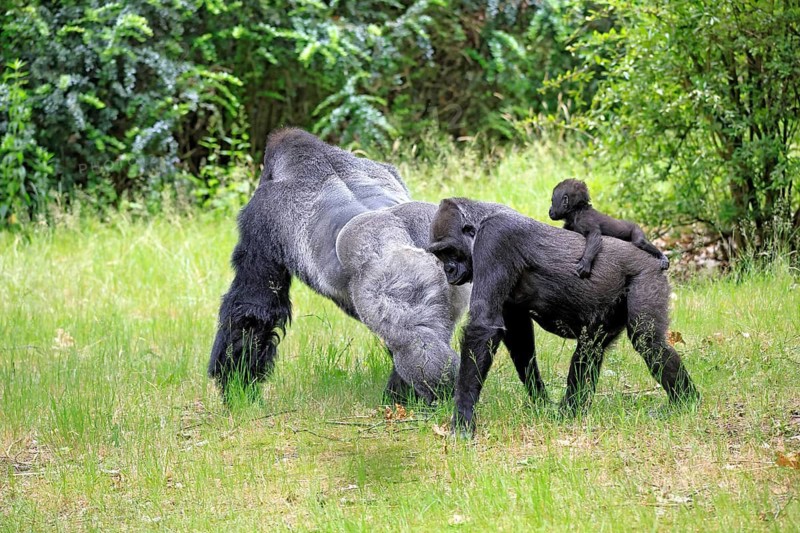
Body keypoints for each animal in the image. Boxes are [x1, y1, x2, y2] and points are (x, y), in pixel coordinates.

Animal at [209, 128, 470, 405]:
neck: (314, 157)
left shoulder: (260, 216)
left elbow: (253, 307)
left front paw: (236, 385)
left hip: (399, 276)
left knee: (414, 343)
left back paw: (432, 396)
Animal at [427, 197, 699, 436]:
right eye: (438, 255)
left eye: (449, 251)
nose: (447, 270)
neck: (482, 218)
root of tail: (654, 256)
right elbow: (519, 338)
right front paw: (540, 400)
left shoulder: (495, 240)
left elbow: (483, 326)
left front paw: (463, 416)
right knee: (590, 349)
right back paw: (572, 410)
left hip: (647, 273)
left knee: (648, 342)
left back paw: (685, 402)